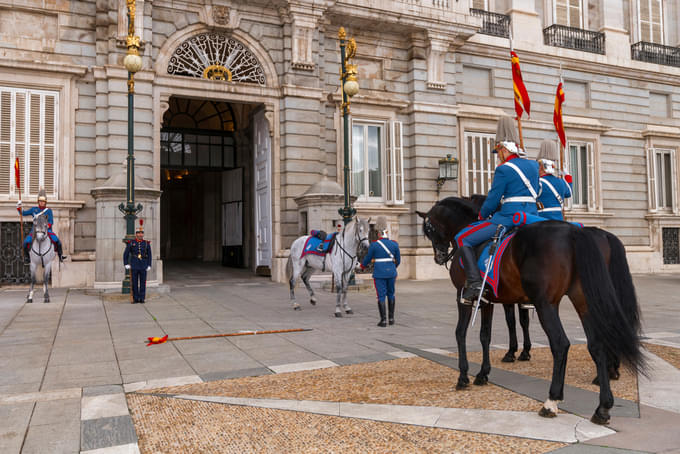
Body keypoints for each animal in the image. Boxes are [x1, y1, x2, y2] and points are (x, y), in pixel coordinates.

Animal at [418, 198, 644, 426]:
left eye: (429, 229)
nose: (439, 257)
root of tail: (574, 233)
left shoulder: (463, 297)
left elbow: (462, 333)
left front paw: (464, 376)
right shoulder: (488, 301)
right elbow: (485, 336)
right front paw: (483, 373)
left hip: (547, 304)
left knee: (561, 344)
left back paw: (552, 401)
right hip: (583, 300)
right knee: (597, 343)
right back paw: (603, 405)